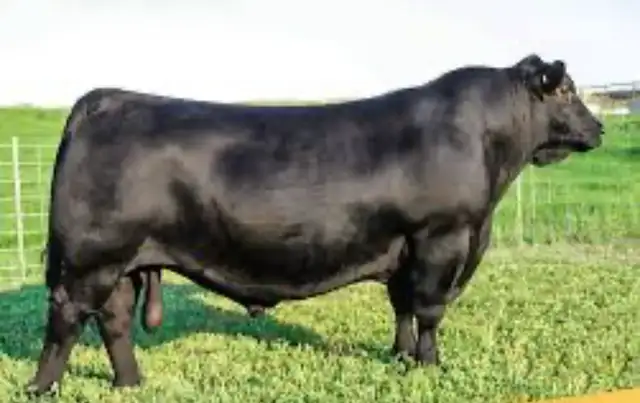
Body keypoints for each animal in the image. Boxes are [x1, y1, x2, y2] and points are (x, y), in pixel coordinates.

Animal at [26, 53, 603, 397]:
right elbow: (429, 311)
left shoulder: (404, 247)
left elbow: (402, 307)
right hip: (90, 260)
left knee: (114, 321)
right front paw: (429, 366)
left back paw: (130, 383)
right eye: (567, 92)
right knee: (66, 320)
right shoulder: (442, 237)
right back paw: (42, 387)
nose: (598, 128)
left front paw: (399, 357)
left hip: (121, 263)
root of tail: (106, 98)